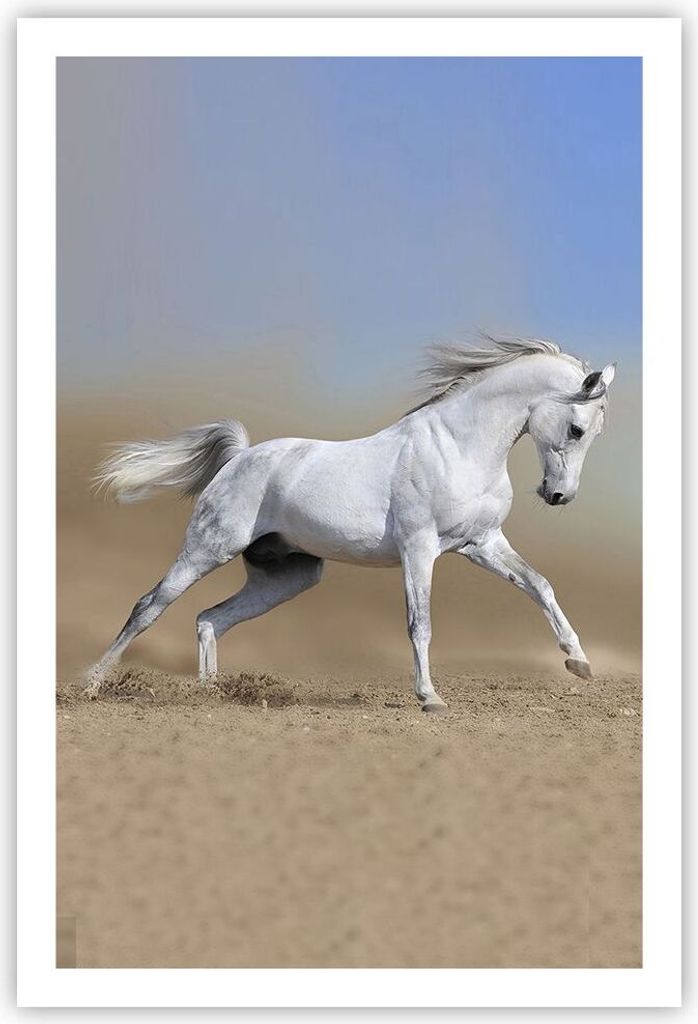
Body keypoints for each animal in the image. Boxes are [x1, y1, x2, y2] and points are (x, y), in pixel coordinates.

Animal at [86, 335, 616, 711]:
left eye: (594, 433)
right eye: (577, 429)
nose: (558, 495)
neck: (459, 447)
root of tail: (239, 458)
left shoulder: (482, 544)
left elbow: (540, 585)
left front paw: (579, 662)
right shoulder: (419, 549)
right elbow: (420, 623)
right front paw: (429, 698)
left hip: (289, 576)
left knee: (209, 619)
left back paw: (210, 694)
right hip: (207, 549)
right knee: (149, 606)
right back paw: (92, 684)